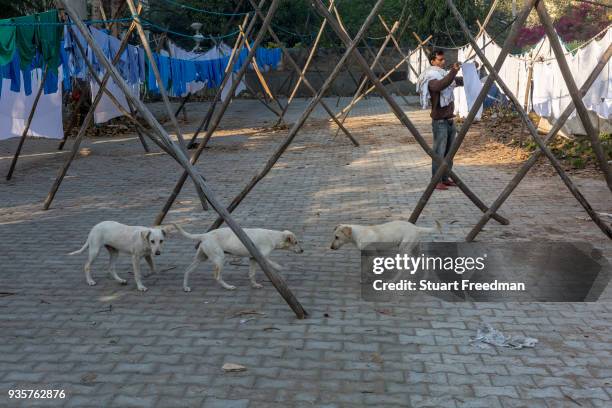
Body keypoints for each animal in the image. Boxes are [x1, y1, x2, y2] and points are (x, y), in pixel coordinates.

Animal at [173, 223, 302, 294]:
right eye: (296, 242)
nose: (302, 251)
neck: (273, 237)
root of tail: (205, 235)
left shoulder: (253, 259)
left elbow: (251, 274)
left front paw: (254, 285)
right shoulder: (262, 257)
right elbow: (273, 264)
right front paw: (280, 268)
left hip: (201, 258)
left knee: (187, 270)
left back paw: (185, 287)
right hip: (220, 259)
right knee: (217, 276)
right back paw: (228, 287)